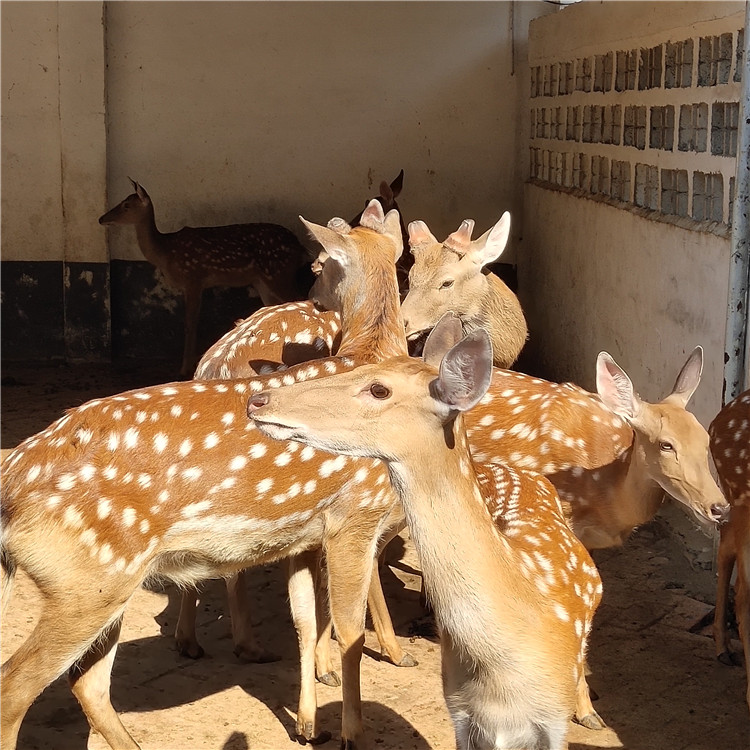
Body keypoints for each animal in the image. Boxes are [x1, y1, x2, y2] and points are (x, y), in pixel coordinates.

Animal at [0, 200, 418, 750]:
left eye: (318, 267)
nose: (310, 298)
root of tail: (10, 483)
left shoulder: (308, 533)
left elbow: (306, 617)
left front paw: (309, 725)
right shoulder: (356, 513)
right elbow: (350, 629)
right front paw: (353, 732)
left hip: (102, 582)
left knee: (86, 682)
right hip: (84, 579)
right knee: (16, 689)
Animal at [97, 180, 314, 378]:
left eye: (126, 205)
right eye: (122, 201)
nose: (101, 218)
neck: (165, 254)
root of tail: (300, 248)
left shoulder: (193, 278)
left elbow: (190, 323)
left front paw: (184, 368)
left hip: (278, 272)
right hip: (262, 280)